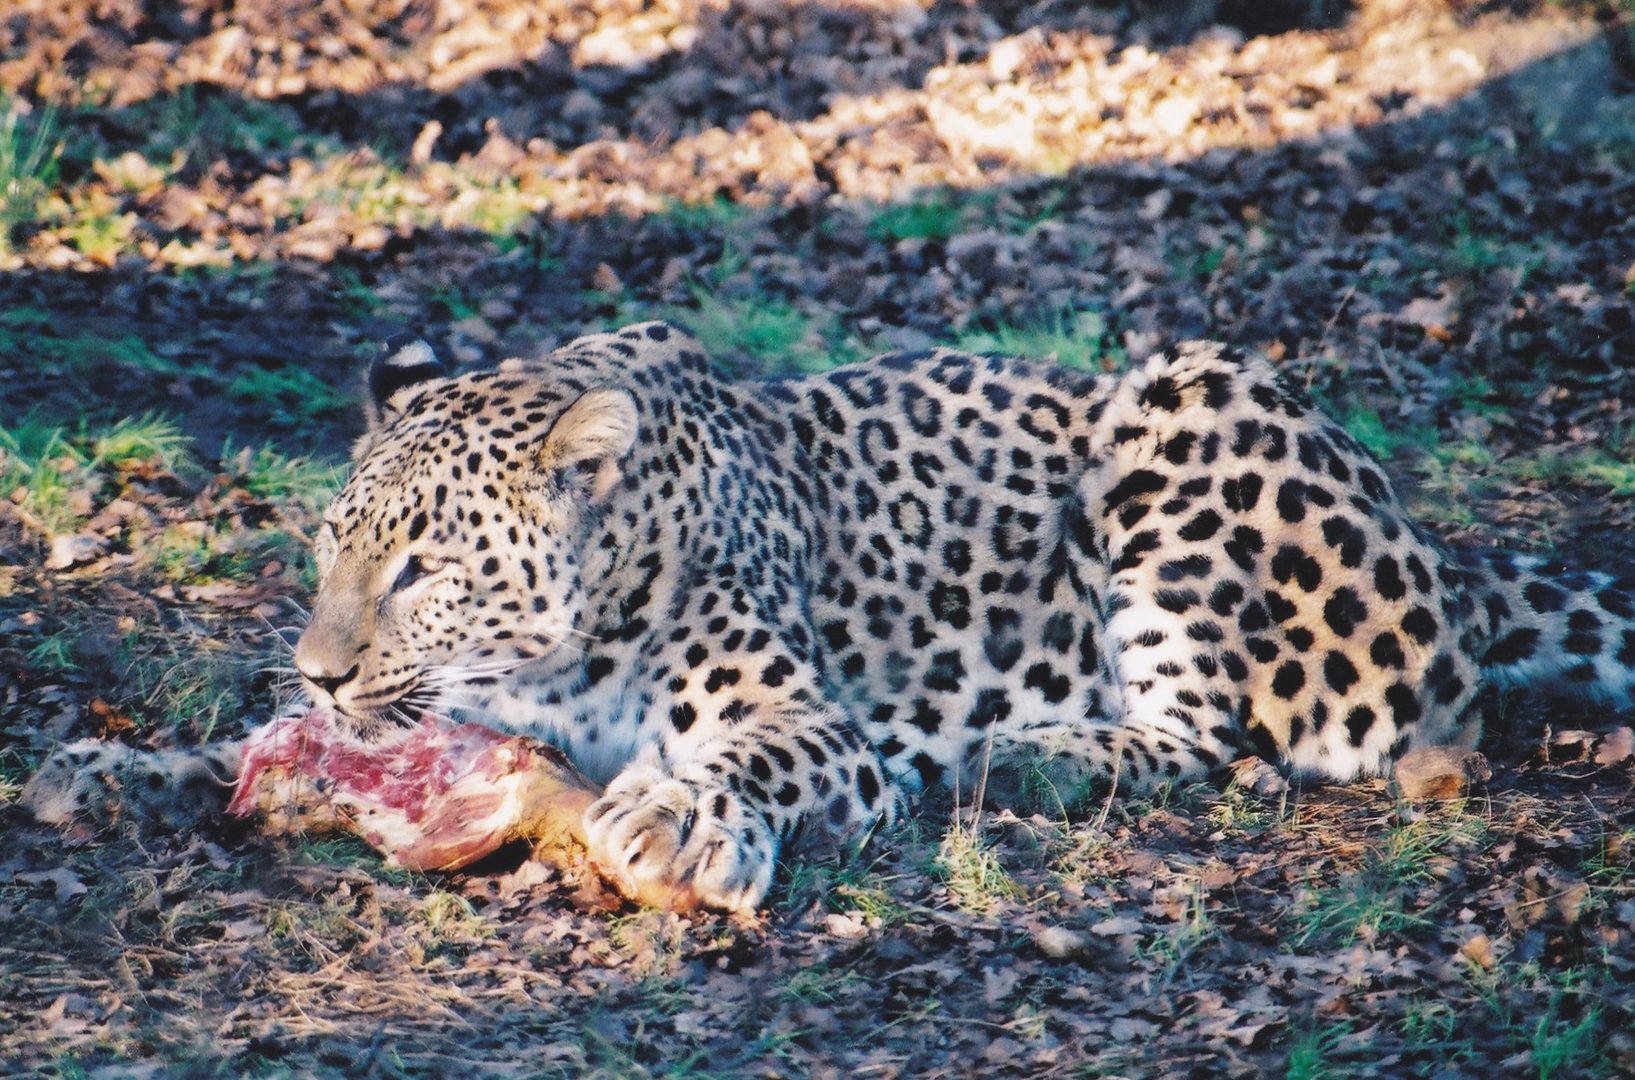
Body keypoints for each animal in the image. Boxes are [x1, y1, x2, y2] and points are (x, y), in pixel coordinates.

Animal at [25, 321, 1635, 913]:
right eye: (331, 549)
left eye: (422, 568)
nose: (316, 667)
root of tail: (1438, 552)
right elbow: (258, 751)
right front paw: (115, 771)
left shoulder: (799, 717)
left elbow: (756, 754)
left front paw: (680, 817)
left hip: (1181, 405)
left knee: (1225, 740)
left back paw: (1027, 755)